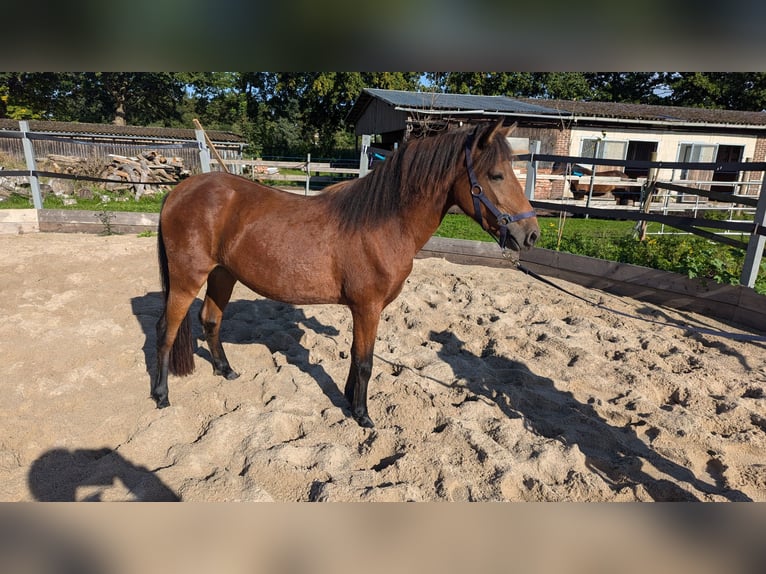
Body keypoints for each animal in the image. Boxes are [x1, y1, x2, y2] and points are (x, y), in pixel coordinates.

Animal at [153, 121, 544, 428]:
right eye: (496, 175)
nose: (531, 235)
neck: (382, 223)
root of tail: (178, 191)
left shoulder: (363, 309)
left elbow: (357, 355)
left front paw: (348, 399)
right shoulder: (368, 307)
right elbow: (366, 361)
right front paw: (363, 415)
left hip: (223, 275)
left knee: (210, 319)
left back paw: (225, 370)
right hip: (187, 278)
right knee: (167, 329)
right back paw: (161, 394)